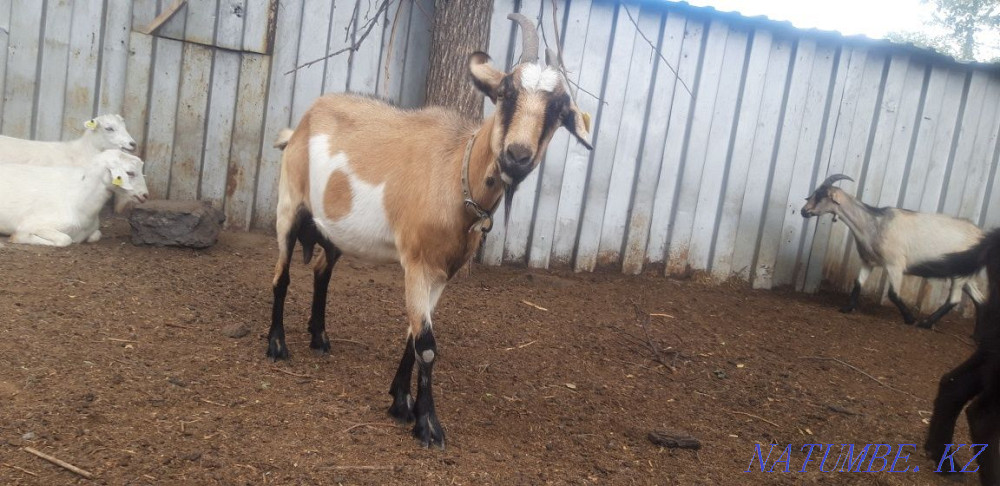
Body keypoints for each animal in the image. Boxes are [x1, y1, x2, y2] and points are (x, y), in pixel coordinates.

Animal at [0, 150, 149, 246]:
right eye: (130, 173)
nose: (145, 195)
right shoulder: (31, 225)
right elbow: (64, 240)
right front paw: (16, 238)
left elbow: (96, 235)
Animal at [267, 14, 592, 448]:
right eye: (505, 92)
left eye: (558, 109)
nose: (517, 156)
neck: (456, 172)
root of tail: (302, 123)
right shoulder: (418, 263)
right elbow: (426, 346)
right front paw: (428, 424)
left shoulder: (441, 272)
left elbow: (413, 333)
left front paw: (400, 401)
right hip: (288, 204)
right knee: (282, 275)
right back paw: (277, 344)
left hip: (335, 229)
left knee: (322, 270)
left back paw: (319, 338)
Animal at [801, 174, 985, 328]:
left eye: (822, 195)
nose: (804, 211)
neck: (873, 224)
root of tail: (981, 234)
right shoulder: (868, 261)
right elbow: (858, 282)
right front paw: (847, 308)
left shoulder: (895, 264)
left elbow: (893, 294)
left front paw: (910, 319)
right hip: (965, 275)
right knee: (980, 299)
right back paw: (976, 333)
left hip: (960, 273)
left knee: (954, 299)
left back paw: (926, 323)